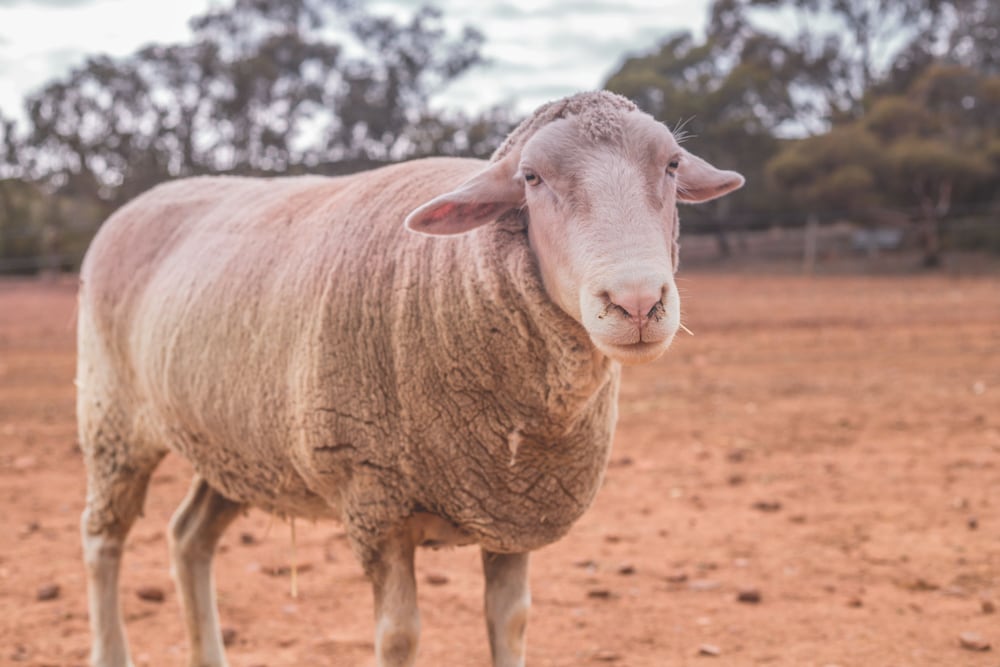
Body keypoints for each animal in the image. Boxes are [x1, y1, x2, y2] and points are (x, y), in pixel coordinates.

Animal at [78, 90, 748, 667]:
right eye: (531, 178)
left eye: (671, 165)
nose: (636, 303)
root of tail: (141, 200)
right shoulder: (375, 501)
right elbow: (399, 636)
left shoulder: (514, 509)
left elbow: (510, 621)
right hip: (113, 420)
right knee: (103, 541)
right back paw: (110, 648)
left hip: (237, 445)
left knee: (188, 537)